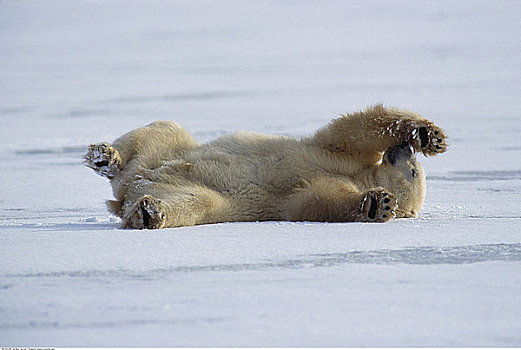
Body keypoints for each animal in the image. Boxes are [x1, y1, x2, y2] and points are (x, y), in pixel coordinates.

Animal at [83, 104, 444, 230]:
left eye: (414, 172)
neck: (360, 175)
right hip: (165, 154)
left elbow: (314, 200)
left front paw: (377, 203)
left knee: (194, 203)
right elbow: (351, 132)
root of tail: (127, 191)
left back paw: (148, 213)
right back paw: (105, 157)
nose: (404, 150)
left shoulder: (310, 192)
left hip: (189, 190)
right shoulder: (338, 156)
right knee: (162, 129)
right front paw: (426, 134)